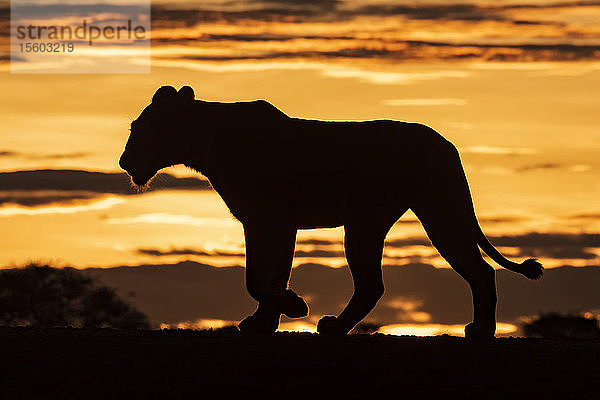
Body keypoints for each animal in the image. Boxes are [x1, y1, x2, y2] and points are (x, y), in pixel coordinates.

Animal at [118, 86, 544, 340]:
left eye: (140, 129)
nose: (123, 162)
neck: (206, 139)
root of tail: (447, 145)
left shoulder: (269, 220)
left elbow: (255, 278)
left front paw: (293, 306)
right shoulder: (273, 223)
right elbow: (270, 275)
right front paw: (265, 321)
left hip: (387, 220)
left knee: (392, 282)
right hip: (422, 216)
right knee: (473, 271)